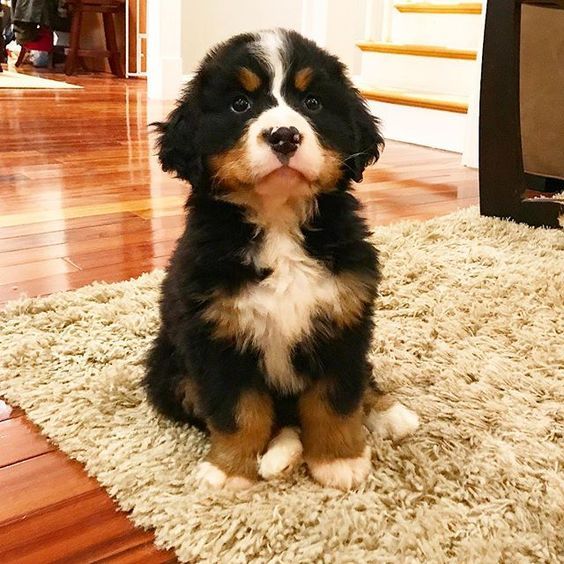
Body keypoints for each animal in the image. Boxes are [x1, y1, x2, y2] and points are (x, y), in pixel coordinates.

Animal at [144, 28, 418, 492]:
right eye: (240, 104)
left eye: (312, 103)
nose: (284, 135)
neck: (279, 223)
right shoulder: (216, 337)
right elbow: (238, 412)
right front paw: (230, 469)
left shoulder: (343, 323)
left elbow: (336, 399)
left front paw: (338, 460)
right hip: (168, 371)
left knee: (363, 380)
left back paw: (390, 413)